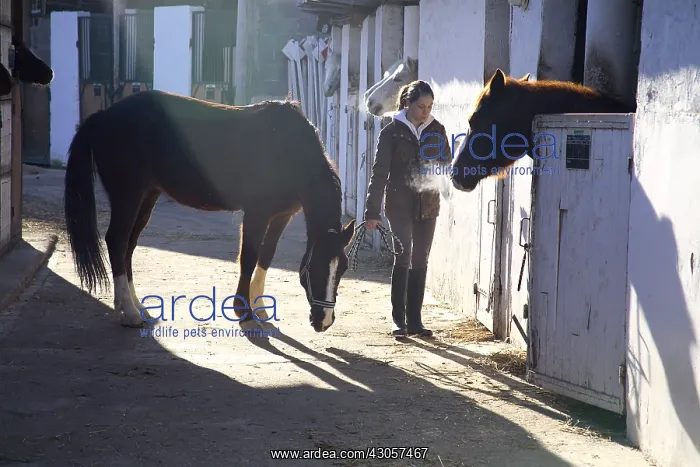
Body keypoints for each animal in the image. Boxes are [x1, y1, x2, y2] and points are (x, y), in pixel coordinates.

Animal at [63, 90, 356, 332]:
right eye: (315, 267)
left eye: (342, 269)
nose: (323, 322)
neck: (288, 149)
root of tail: (104, 116)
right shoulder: (256, 214)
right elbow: (249, 258)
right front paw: (243, 312)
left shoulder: (281, 216)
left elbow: (266, 256)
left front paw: (260, 308)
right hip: (128, 196)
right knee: (116, 241)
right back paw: (130, 314)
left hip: (147, 197)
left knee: (128, 246)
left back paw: (135, 306)